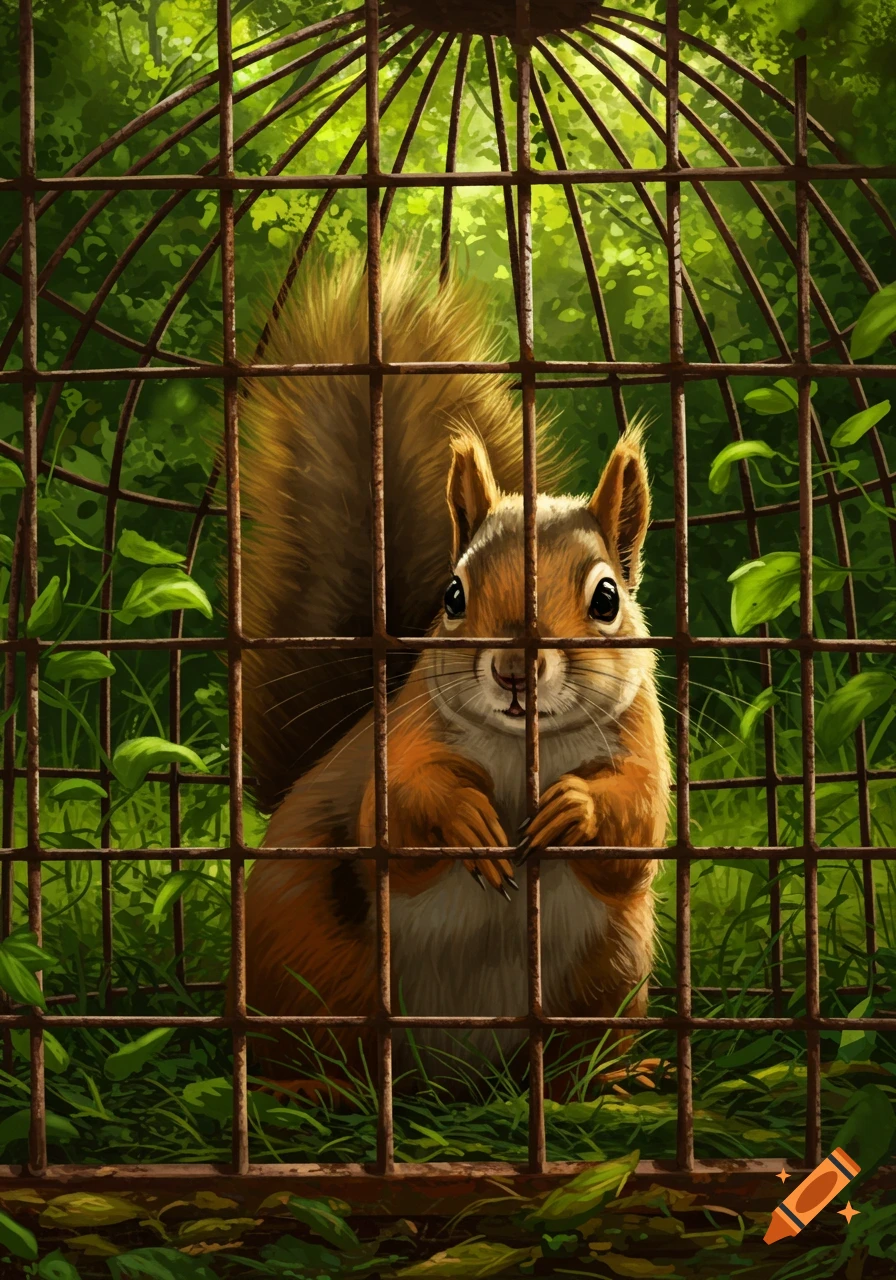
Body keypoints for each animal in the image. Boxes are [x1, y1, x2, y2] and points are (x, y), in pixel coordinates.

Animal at [236, 251, 670, 1096]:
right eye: (453, 595)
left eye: (607, 598)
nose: (512, 671)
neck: (523, 749)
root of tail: (456, 1082)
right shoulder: (402, 736)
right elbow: (394, 808)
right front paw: (466, 817)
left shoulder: (643, 743)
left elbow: (639, 822)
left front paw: (573, 809)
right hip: (306, 957)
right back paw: (309, 1088)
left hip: (609, 970)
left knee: (569, 1060)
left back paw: (611, 1082)